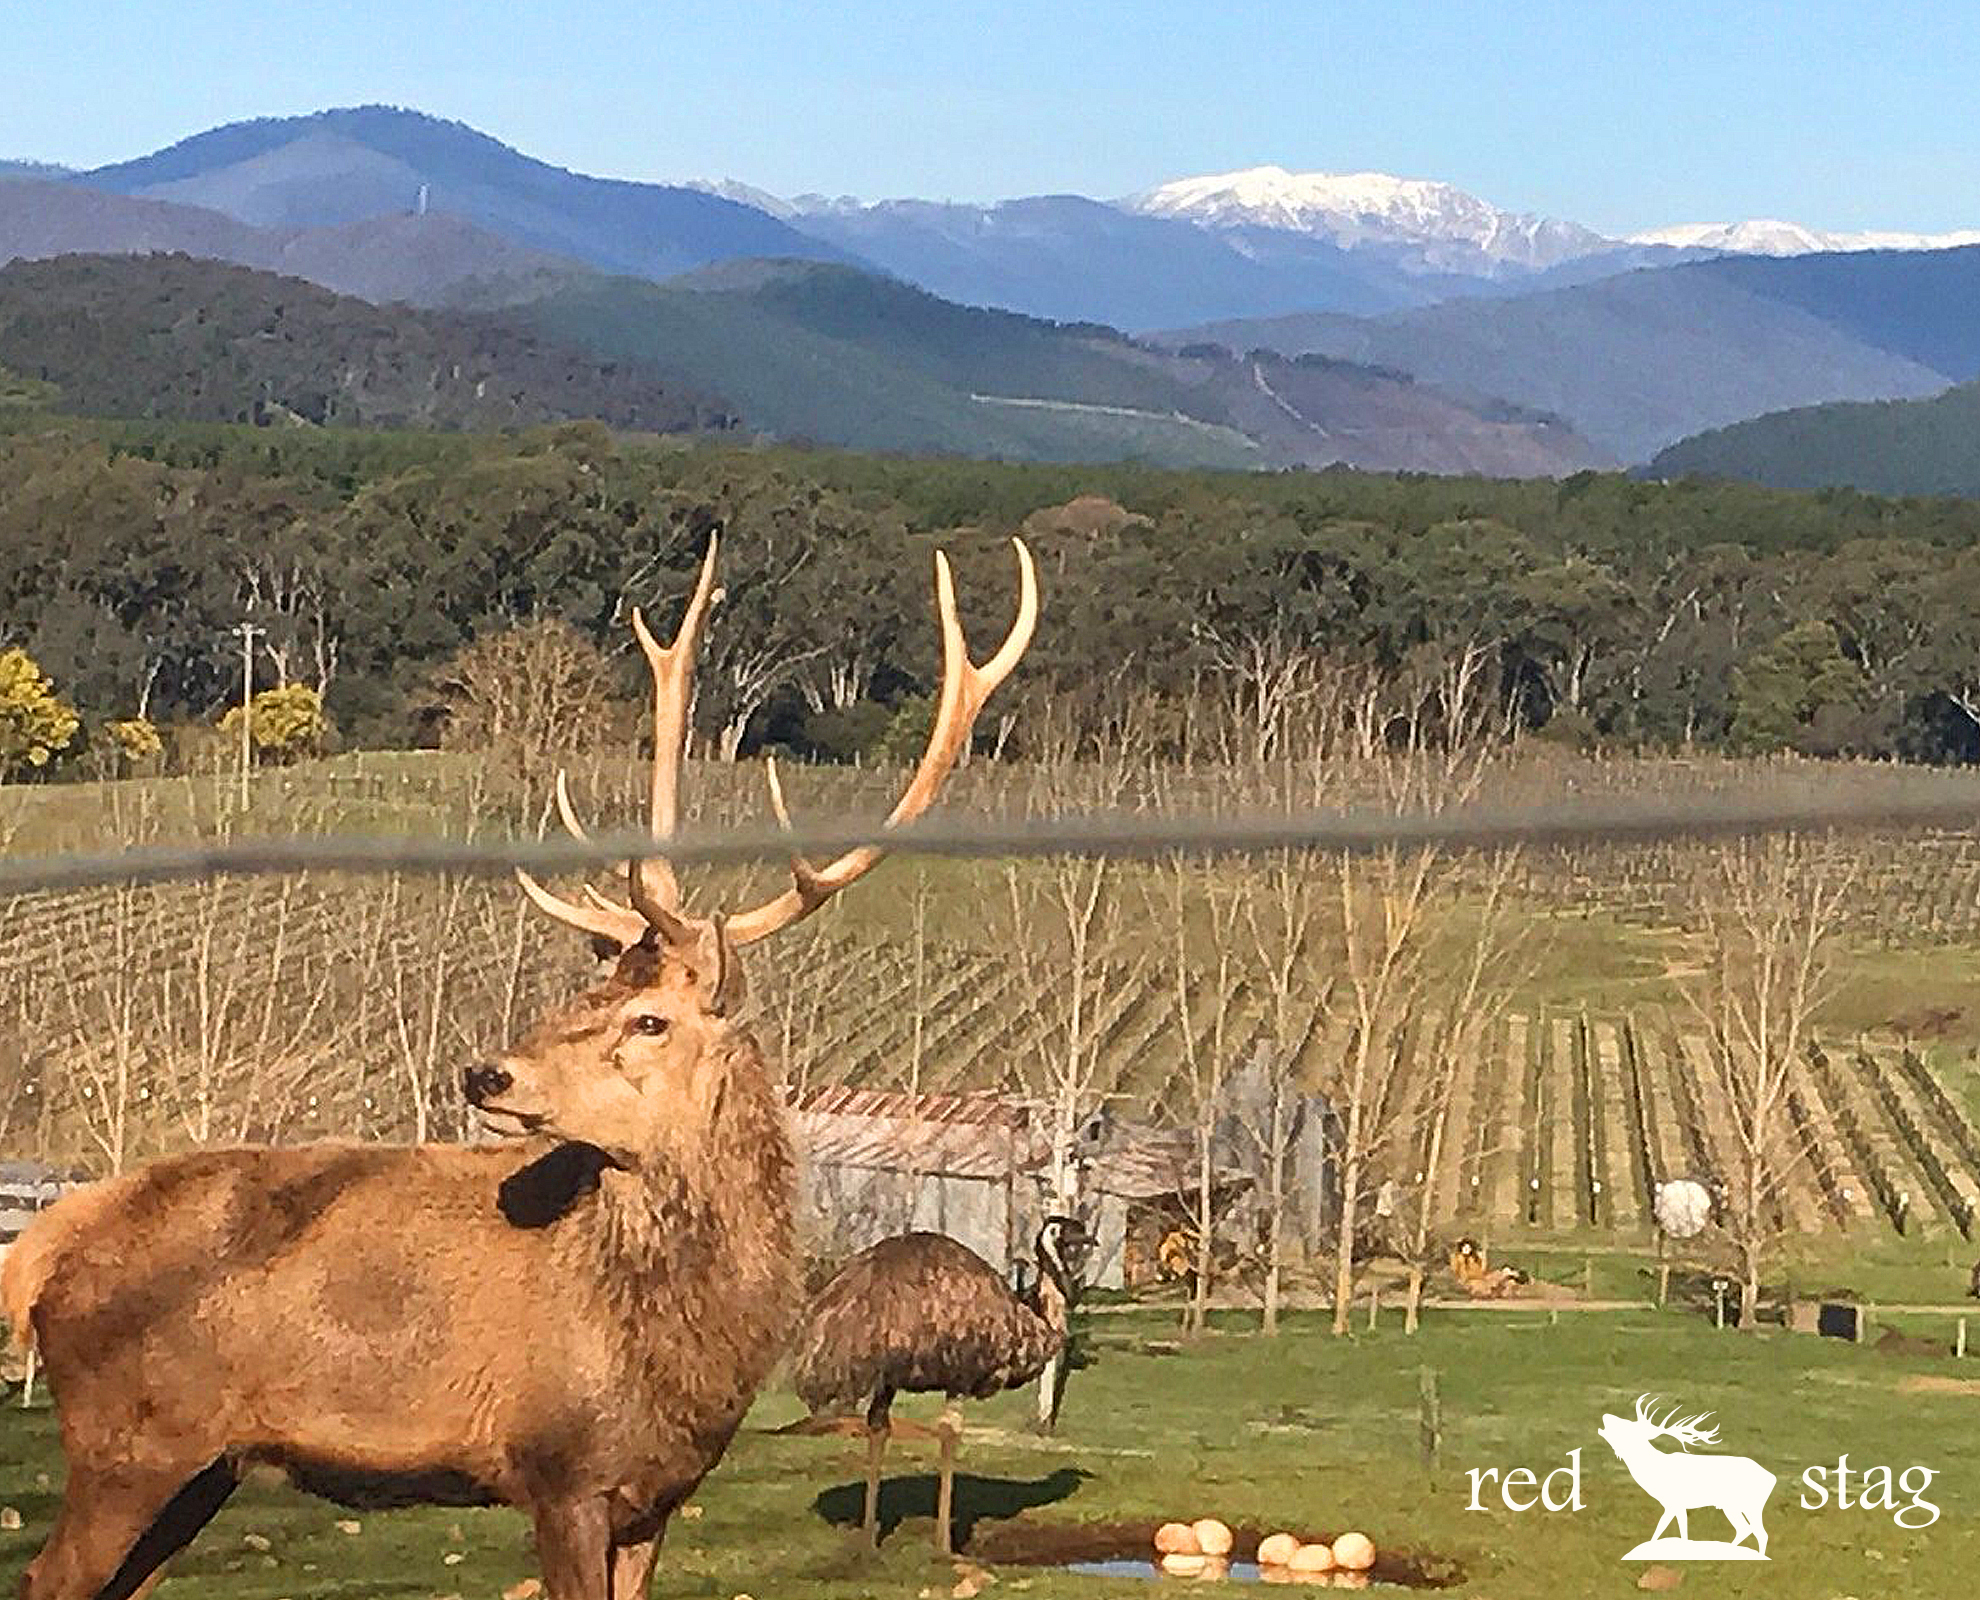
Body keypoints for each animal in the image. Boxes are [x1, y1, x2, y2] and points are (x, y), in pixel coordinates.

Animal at [2, 531, 1038, 1600]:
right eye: (585, 995)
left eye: (649, 1018)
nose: (484, 1075)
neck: (686, 1359)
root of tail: (34, 1256)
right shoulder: (559, 1468)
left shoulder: (657, 1494)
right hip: (126, 1443)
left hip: (198, 1467)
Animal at [1597, 1395, 1776, 1555]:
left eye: (1627, 1426)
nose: (1606, 1416)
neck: (1654, 1471)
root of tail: (1772, 1478)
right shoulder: (1674, 1504)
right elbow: (1672, 1531)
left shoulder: (1674, 1501)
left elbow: (1669, 1531)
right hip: (1731, 1506)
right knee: (1745, 1529)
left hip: (1751, 1505)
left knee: (1761, 1533)